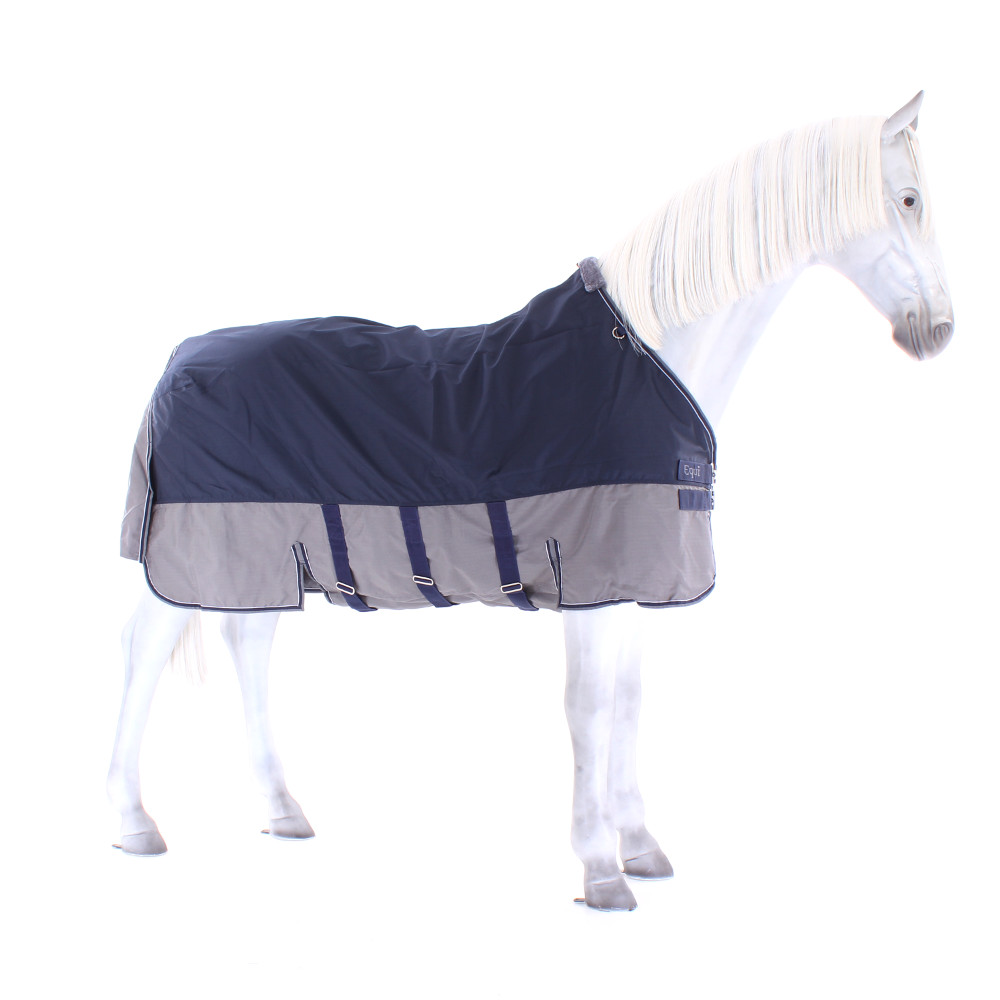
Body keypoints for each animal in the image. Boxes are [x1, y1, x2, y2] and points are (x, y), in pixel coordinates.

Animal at [108, 92, 953, 911]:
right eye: (909, 198)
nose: (940, 330)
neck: (646, 362)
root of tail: (177, 361)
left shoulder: (640, 582)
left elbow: (629, 702)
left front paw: (639, 846)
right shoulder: (589, 583)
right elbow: (587, 706)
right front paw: (600, 871)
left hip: (263, 549)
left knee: (248, 644)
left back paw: (281, 810)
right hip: (197, 550)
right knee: (146, 647)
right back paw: (132, 822)